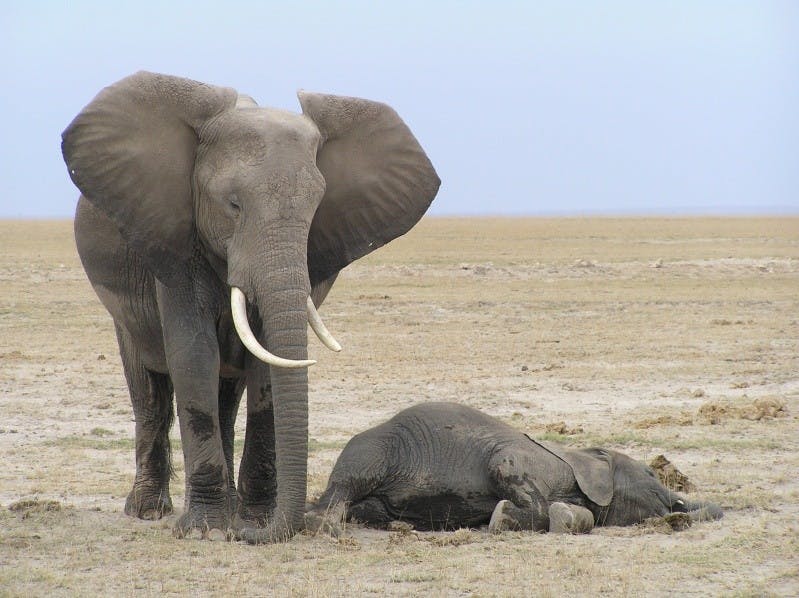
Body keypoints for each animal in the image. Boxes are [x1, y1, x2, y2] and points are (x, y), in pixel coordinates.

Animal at [61, 71, 439, 543]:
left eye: (316, 208)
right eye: (234, 205)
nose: (301, 524)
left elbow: (266, 368)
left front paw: (253, 522)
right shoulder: (178, 237)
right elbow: (193, 354)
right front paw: (205, 531)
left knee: (226, 396)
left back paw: (229, 507)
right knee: (148, 389)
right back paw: (147, 510)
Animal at [306, 402, 723, 534]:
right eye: (651, 475)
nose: (678, 510)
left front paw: (566, 516)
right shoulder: (524, 459)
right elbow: (503, 468)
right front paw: (501, 518)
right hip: (375, 448)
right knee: (345, 488)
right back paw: (328, 525)